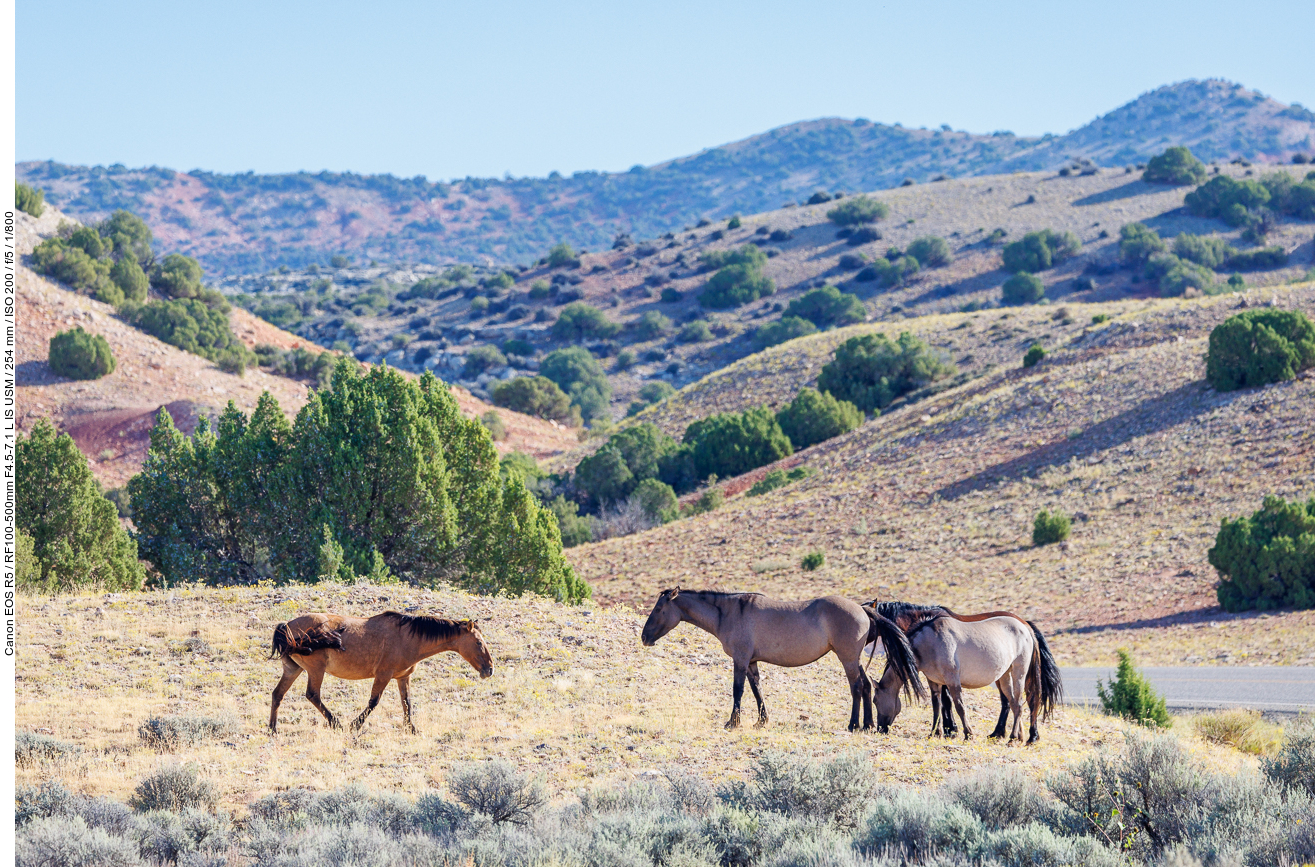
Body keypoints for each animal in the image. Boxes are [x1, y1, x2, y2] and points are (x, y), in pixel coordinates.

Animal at [266, 607, 494, 736]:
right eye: (478, 642)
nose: (490, 670)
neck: (408, 638)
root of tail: (286, 626)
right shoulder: (383, 675)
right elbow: (373, 702)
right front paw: (354, 726)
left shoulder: (403, 677)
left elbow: (407, 703)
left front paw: (412, 729)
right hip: (316, 670)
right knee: (312, 695)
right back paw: (337, 724)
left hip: (293, 669)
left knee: (278, 694)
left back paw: (272, 729)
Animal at [641, 589, 920, 731]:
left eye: (658, 609)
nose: (644, 637)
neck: (730, 612)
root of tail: (863, 609)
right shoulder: (751, 662)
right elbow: (757, 690)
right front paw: (761, 721)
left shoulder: (740, 660)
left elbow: (738, 690)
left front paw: (733, 722)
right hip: (854, 659)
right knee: (866, 685)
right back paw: (868, 724)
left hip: (847, 658)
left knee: (857, 686)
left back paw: (854, 725)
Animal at [867, 610, 1062, 747]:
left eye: (875, 700)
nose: (880, 729)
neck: (930, 641)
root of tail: (1025, 627)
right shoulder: (934, 682)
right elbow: (937, 706)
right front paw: (934, 733)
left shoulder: (953, 680)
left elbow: (959, 706)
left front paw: (968, 734)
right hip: (1004, 676)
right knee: (1015, 704)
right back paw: (1019, 737)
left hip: (1018, 674)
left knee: (1021, 704)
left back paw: (1014, 737)